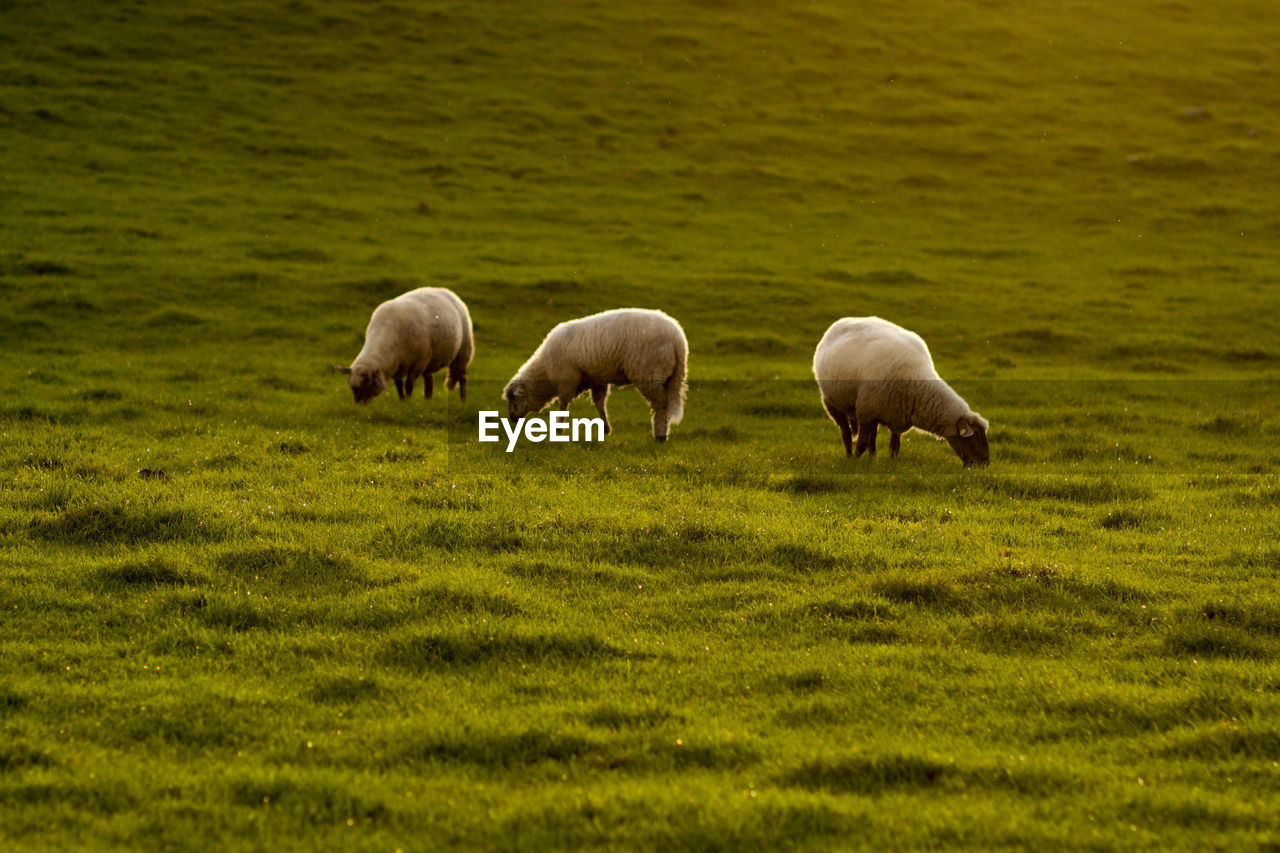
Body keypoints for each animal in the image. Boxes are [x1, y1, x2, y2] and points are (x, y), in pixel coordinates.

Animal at [335, 285, 476, 404]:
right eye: (352, 387)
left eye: (366, 383)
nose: (359, 404)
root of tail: (449, 292)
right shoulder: (397, 366)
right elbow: (399, 385)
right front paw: (402, 401)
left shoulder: (418, 363)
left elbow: (409, 385)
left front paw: (408, 401)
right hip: (431, 360)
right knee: (429, 381)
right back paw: (428, 401)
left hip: (463, 352)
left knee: (463, 378)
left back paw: (463, 401)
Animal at [501, 307, 691, 440]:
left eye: (514, 400)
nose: (512, 419)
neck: (545, 372)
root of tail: (678, 340)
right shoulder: (597, 379)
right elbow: (599, 403)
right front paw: (606, 429)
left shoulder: (568, 380)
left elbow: (563, 405)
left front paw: (558, 430)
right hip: (672, 376)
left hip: (650, 373)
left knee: (661, 406)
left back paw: (660, 435)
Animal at [808, 315, 988, 466]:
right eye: (974, 438)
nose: (984, 464)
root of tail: (840, 322)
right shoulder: (866, 412)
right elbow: (861, 443)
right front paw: (854, 463)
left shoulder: (896, 416)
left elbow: (894, 445)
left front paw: (892, 462)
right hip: (832, 403)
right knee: (846, 433)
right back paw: (849, 456)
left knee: (872, 436)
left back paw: (872, 458)